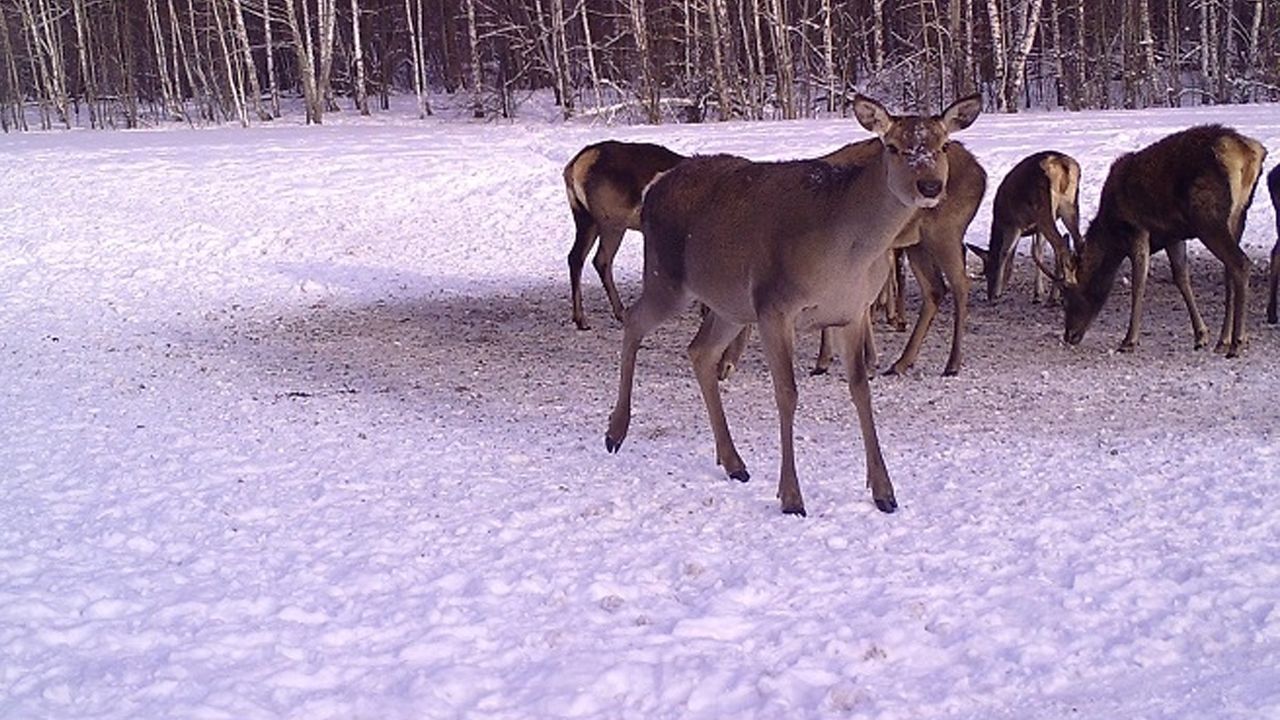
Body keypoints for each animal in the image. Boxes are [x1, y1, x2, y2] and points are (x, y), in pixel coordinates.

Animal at [560, 137, 686, 327]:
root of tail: (575, 165)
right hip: (611, 221)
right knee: (601, 259)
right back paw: (618, 312)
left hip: (584, 216)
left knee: (575, 257)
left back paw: (580, 318)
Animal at [599, 92, 977, 512]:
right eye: (893, 146)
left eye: (943, 145)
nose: (930, 185)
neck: (846, 258)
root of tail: (653, 188)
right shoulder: (775, 306)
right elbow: (787, 393)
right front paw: (791, 496)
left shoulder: (851, 312)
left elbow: (861, 389)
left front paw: (884, 492)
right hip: (667, 276)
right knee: (634, 319)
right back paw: (615, 432)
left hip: (730, 303)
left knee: (699, 351)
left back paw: (733, 462)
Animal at [967, 149, 1080, 301]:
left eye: (987, 270)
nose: (989, 295)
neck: (998, 221)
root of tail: (1062, 165)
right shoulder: (1037, 228)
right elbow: (1039, 251)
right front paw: (1038, 292)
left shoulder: (1013, 224)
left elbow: (1005, 252)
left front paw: (997, 292)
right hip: (1070, 204)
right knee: (1078, 241)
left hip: (1043, 209)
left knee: (1061, 246)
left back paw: (1057, 294)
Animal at [1054, 126, 1264, 358]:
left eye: (1067, 296)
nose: (1069, 336)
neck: (1112, 233)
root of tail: (1248, 153)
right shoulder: (1172, 235)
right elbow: (1181, 278)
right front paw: (1201, 335)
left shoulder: (1137, 229)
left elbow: (1139, 282)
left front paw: (1129, 340)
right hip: (1239, 215)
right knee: (1230, 270)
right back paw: (1224, 340)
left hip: (1208, 218)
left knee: (1240, 263)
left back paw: (1236, 342)